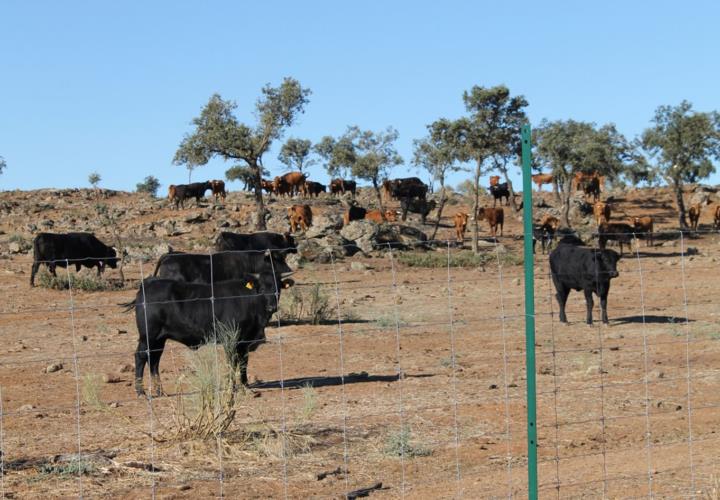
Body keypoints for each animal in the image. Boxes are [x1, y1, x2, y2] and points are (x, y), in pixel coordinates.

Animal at [122, 276, 274, 396]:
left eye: (277, 287)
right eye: (261, 290)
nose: (272, 307)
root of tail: (147, 285)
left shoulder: (244, 343)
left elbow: (243, 364)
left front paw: (246, 387)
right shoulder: (230, 340)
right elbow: (232, 363)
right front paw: (232, 388)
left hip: (159, 340)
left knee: (154, 361)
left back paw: (160, 391)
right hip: (148, 337)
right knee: (140, 357)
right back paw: (141, 392)